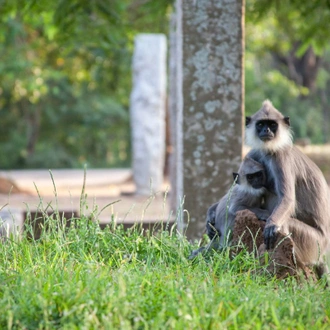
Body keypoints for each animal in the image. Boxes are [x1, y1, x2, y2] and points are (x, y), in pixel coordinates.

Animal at [246, 99, 328, 278]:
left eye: (272, 124)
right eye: (261, 124)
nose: (266, 130)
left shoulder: (281, 158)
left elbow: (287, 199)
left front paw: (271, 224)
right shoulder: (254, 154)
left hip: (314, 243)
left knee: (285, 225)